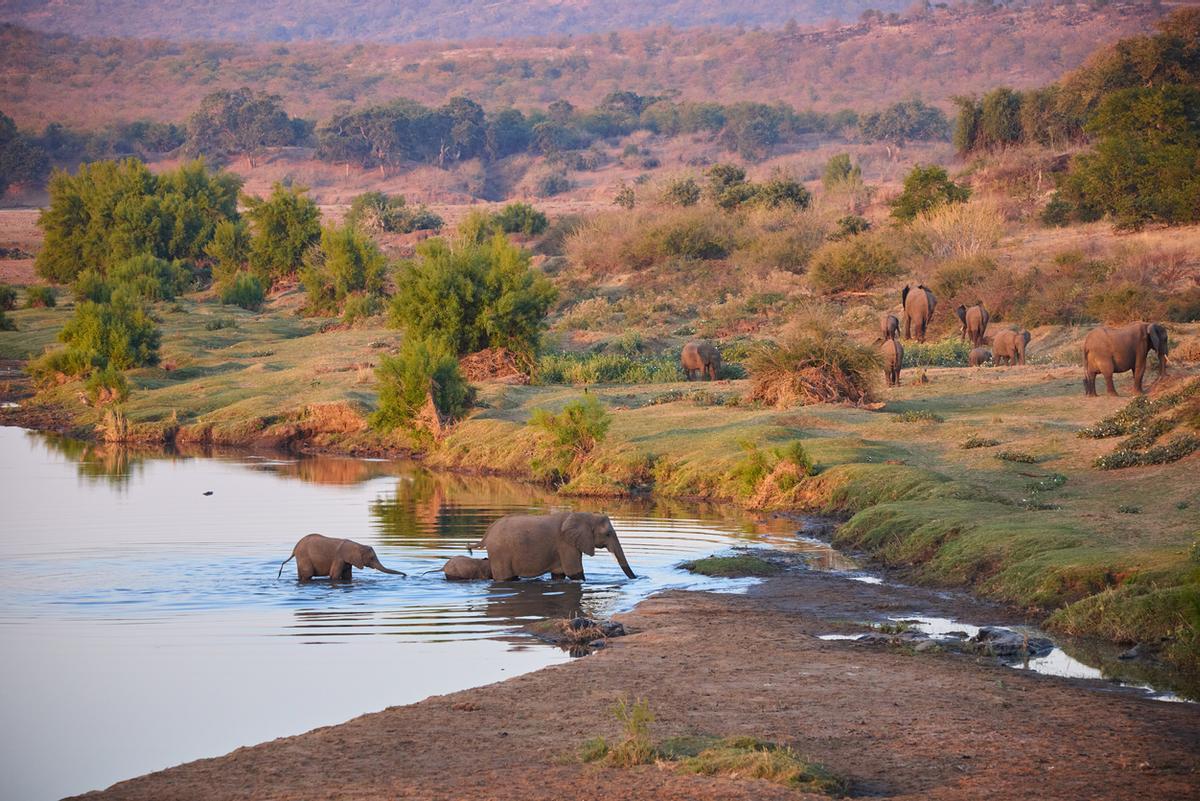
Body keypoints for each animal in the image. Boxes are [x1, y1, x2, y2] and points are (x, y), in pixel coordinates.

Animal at [278, 533, 406, 581]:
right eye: (371, 558)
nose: (405, 575)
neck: (357, 545)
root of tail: (294, 549)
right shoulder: (339, 558)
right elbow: (334, 576)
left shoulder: (347, 561)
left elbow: (347, 576)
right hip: (304, 557)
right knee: (307, 575)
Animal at [470, 511, 636, 581]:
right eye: (608, 534)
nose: (636, 579)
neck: (585, 515)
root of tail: (487, 534)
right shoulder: (565, 544)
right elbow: (575, 573)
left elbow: (559, 575)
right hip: (500, 553)